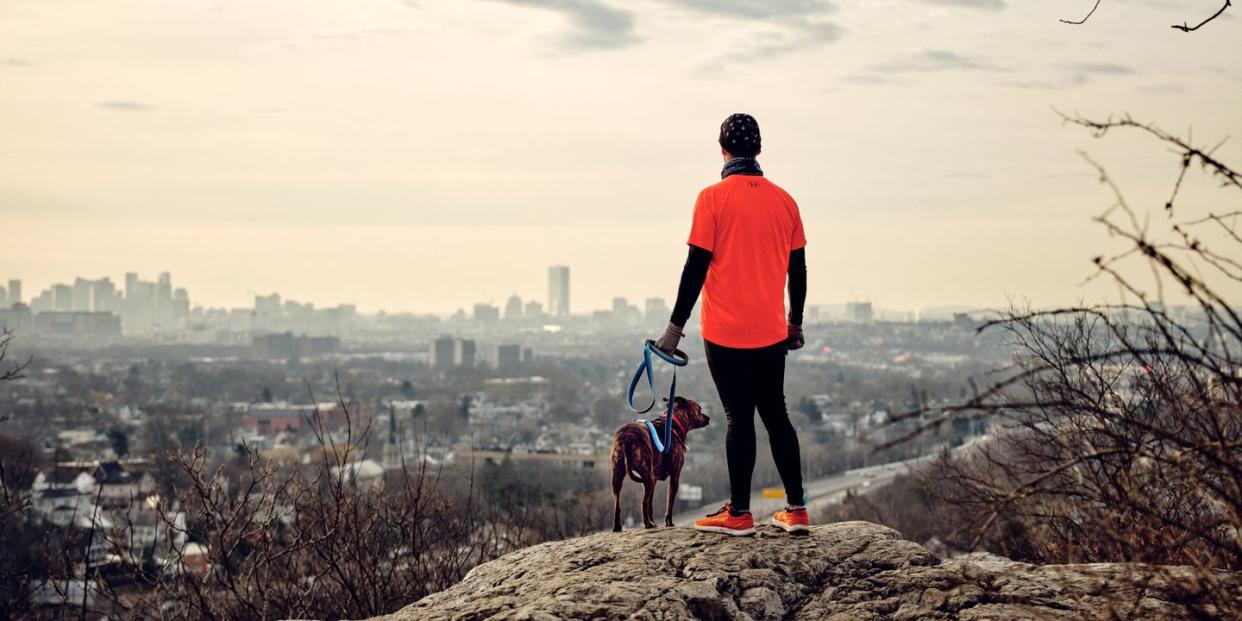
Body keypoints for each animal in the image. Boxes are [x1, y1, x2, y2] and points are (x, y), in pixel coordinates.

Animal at [611, 394, 710, 531]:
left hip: (619, 476)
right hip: (648, 477)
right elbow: (669, 501)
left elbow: (651, 504)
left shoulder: (655, 479)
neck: (673, 424)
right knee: (643, 502)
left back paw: (618, 526)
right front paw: (669, 522)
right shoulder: (674, 476)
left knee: (617, 503)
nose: (708, 418)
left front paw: (654, 521)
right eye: (699, 409)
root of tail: (626, 438)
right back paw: (647, 524)